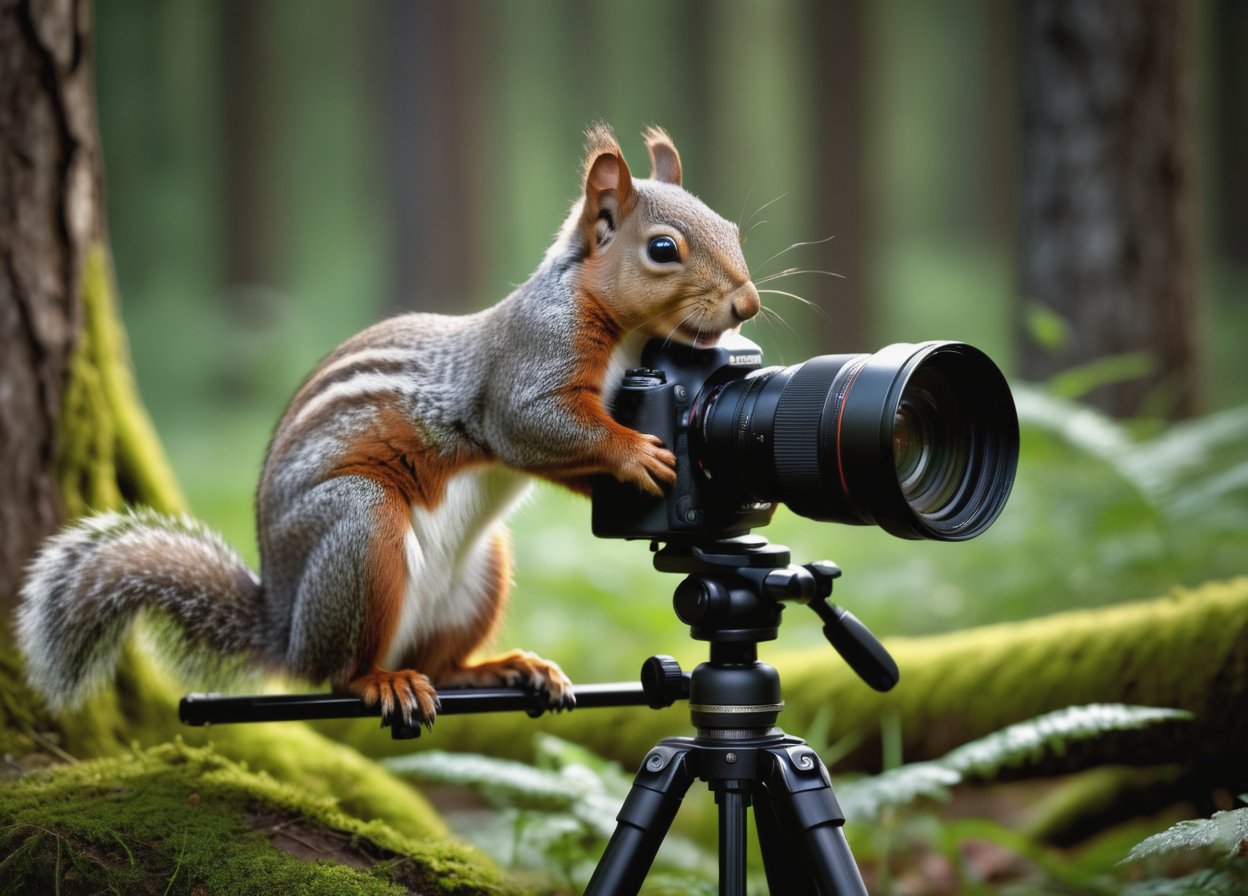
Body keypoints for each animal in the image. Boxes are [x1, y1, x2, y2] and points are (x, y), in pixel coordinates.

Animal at [17, 124, 758, 728]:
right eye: (662, 248)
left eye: (735, 228)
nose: (747, 304)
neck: (628, 340)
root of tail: (285, 629)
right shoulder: (527, 365)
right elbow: (535, 424)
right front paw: (636, 453)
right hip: (361, 529)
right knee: (340, 670)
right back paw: (383, 681)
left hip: (480, 575)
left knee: (443, 665)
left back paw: (504, 667)